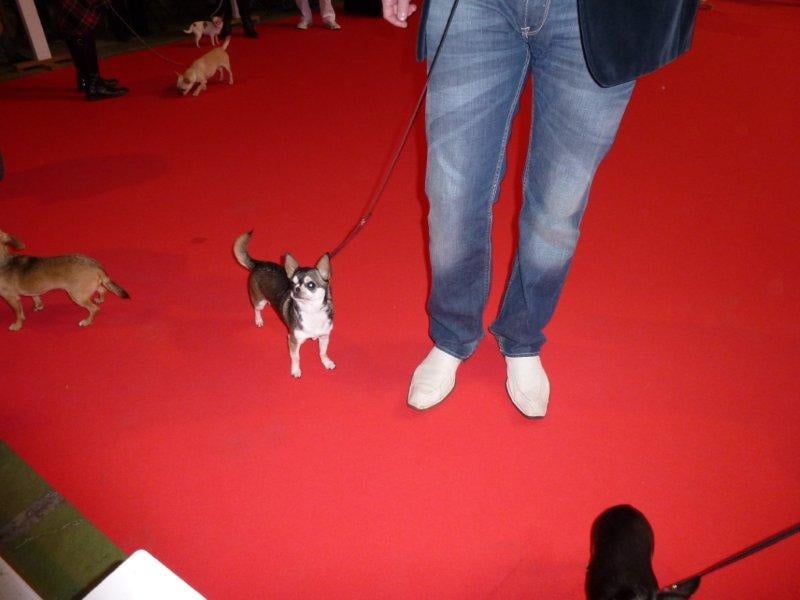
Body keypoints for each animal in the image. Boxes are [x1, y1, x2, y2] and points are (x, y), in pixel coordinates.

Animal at [0, 230, 130, 331]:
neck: (4, 261)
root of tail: (96, 266)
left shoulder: (11, 298)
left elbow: (18, 314)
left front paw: (17, 326)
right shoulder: (33, 291)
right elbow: (36, 297)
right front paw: (38, 306)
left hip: (77, 296)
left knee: (94, 309)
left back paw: (86, 322)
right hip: (91, 287)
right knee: (103, 290)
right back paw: (100, 300)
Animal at [233, 231, 335, 378]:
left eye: (311, 285)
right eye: (292, 283)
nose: (296, 289)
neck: (311, 311)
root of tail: (259, 264)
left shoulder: (324, 336)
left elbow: (323, 352)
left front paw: (326, 362)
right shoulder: (293, 340)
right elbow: (296, 357)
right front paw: (296, 370)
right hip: (259, 301)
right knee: (257, 309)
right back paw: (258, 320)